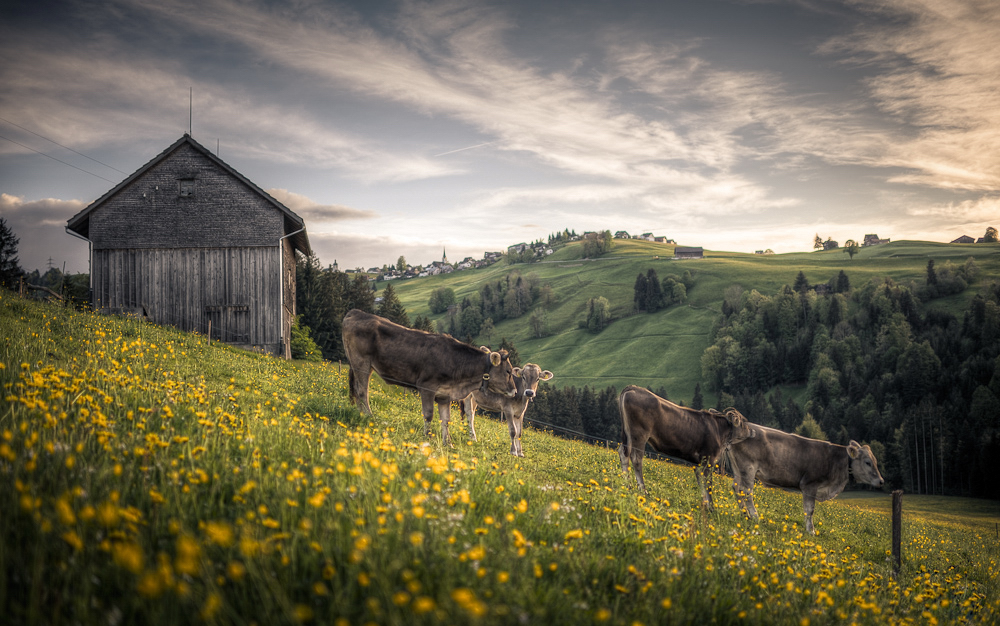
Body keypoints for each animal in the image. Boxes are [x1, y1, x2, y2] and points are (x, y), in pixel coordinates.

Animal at [342, 310, 516, 442]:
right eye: (508, 371)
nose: (514, 391)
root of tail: (356, 312)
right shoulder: (426, 387)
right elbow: (429, 415)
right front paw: (428, 436)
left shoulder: (444, 395)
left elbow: (446, 420)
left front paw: (447, 443)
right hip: (362, 363)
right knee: (362, 391)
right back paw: (369, 416)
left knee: (357, 390)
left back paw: (360, 414)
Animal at [616, 382, 756, 510]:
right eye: (743, 423)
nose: (753, 431)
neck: (719, 430)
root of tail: (633, 387)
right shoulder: (708, 459)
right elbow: (708, 483)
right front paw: (711, 507)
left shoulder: (698, 462)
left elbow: (701, 482)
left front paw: (705, 504)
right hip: (639, 435)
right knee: (636, 459)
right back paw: (643, 490)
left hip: (628, 435)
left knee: (623, 454)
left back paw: (626, 485)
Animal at [728, 426, 884, 532]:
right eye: (868, 462)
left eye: (876, 461)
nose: (881, 481)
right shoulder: (810, 485)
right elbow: (810, 509)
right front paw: (811, 531)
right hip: (748, 467)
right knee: (746, 491)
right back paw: (754, 516)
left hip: (738, 469)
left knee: (736, 488)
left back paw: (745, 515)